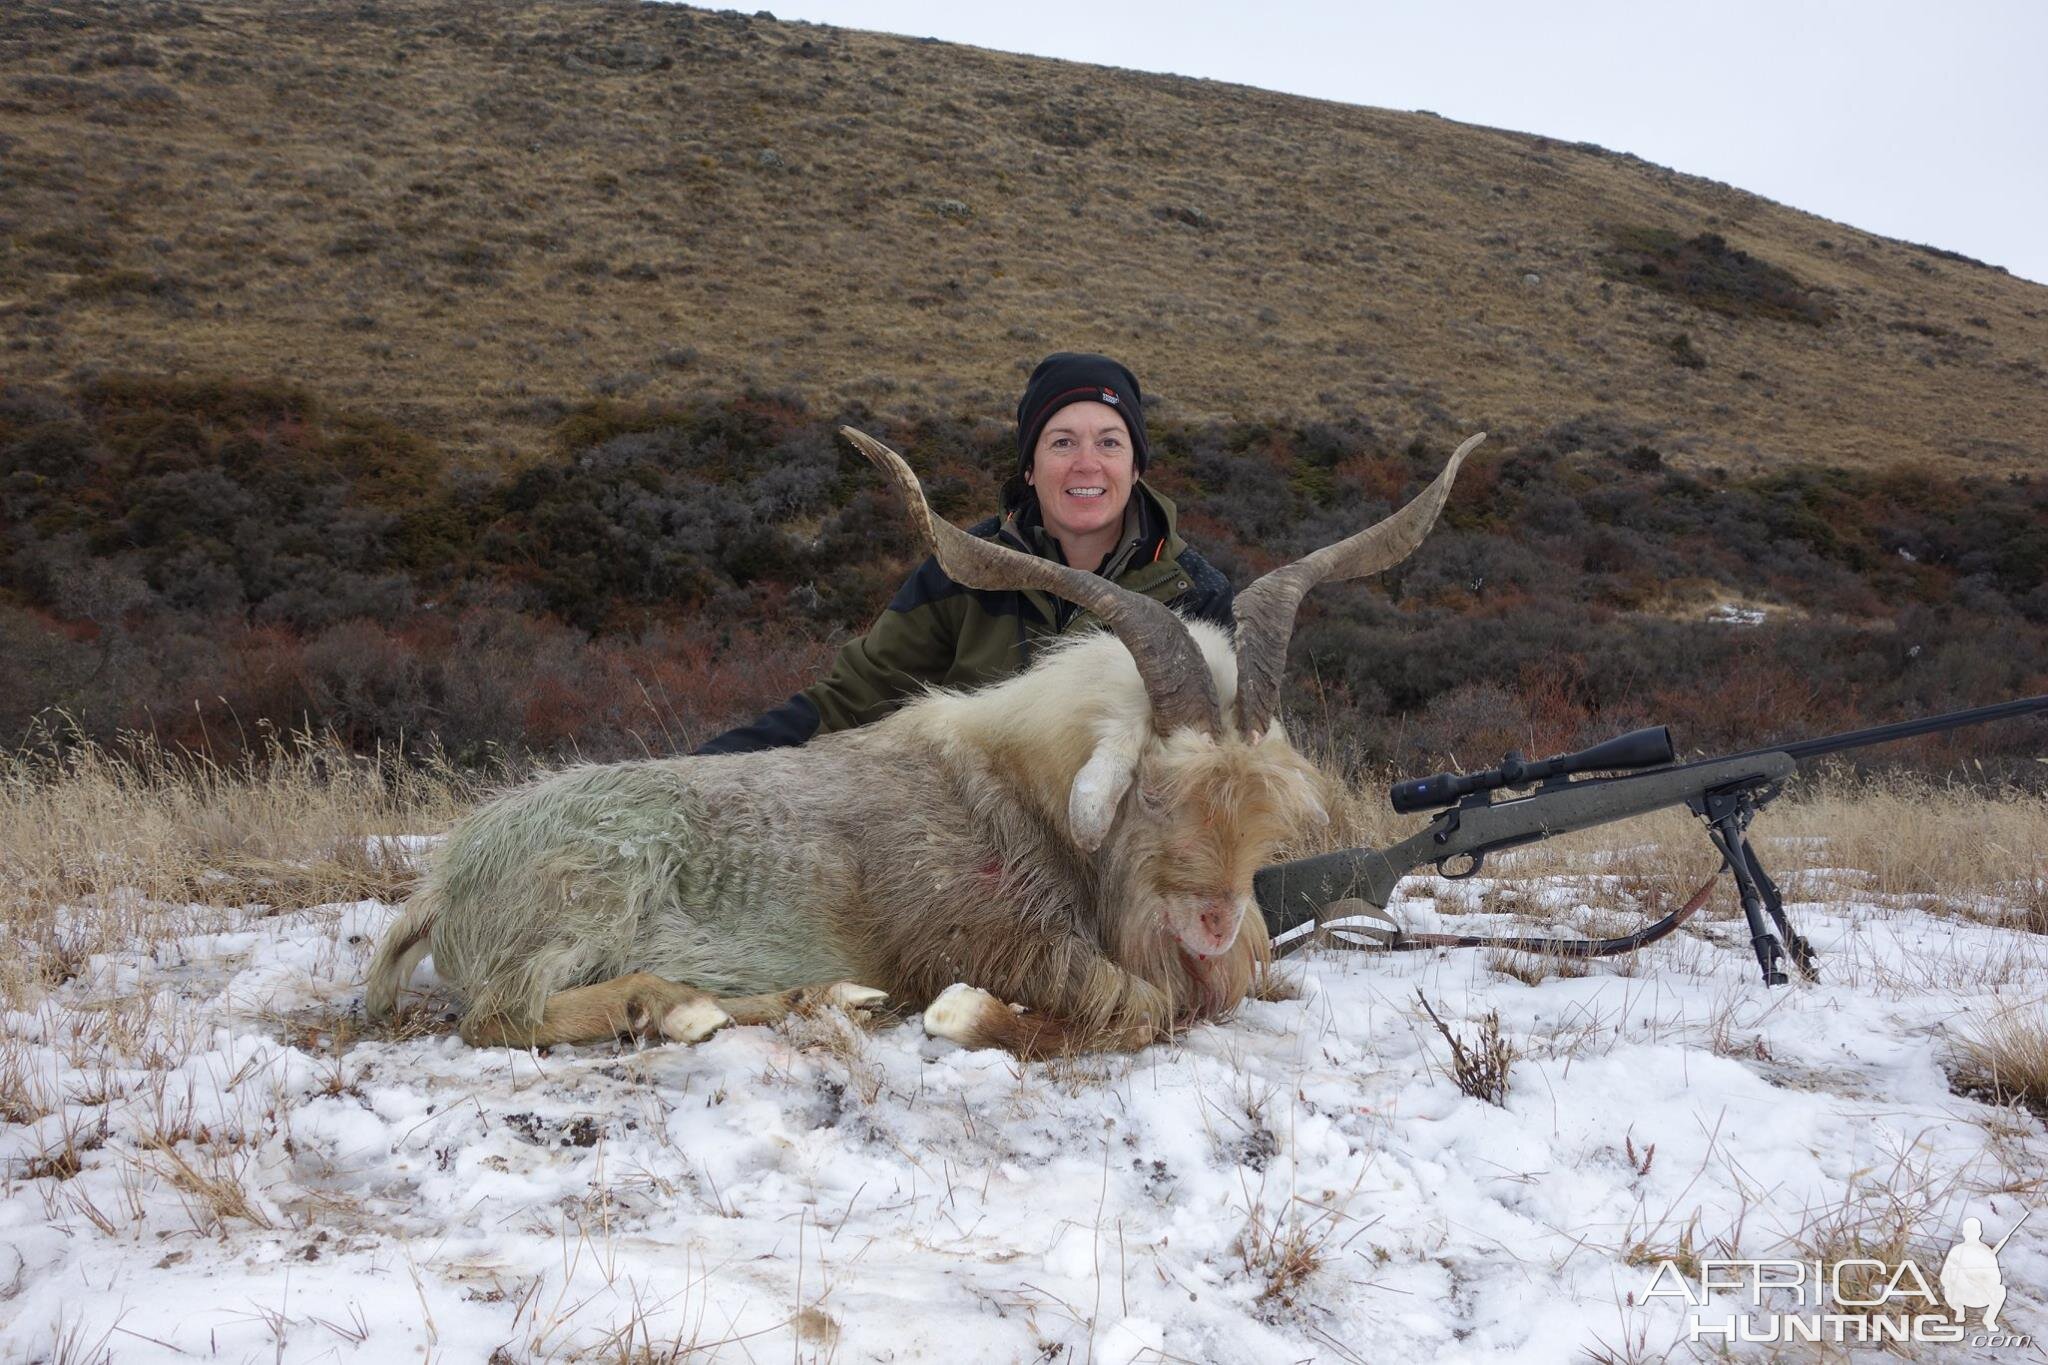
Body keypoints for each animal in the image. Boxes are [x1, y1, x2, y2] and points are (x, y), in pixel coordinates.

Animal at [368, 427, 1482, 1055]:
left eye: (1262, 808)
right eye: (1152, 793)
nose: (1213, 926)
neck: (1016, 791)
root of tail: (444, 882)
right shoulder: (987, 937)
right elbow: (1131, 1005)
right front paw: (963, 1018)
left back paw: (810, 997)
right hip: (579, 905)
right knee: (499, 1016)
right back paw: (672, 1009)